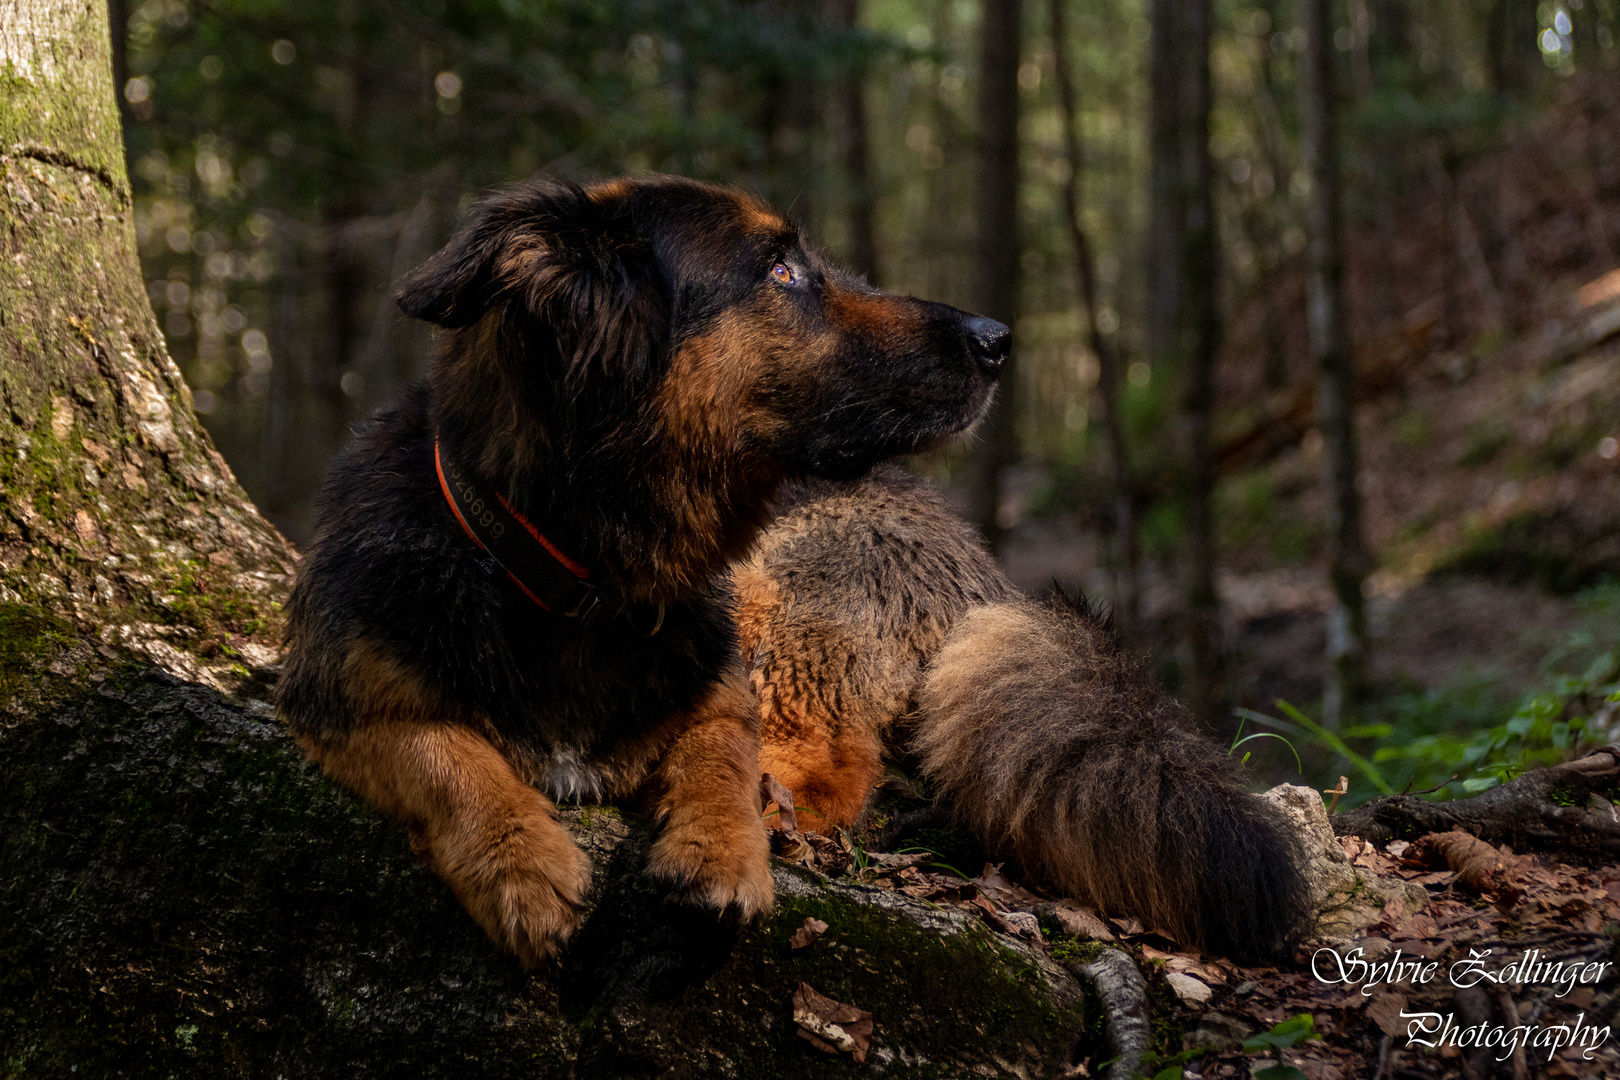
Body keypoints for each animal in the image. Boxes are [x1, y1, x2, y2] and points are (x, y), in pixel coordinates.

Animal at [278, 175, 1010, 965]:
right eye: (781, 272)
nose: (999, 340)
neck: (580, 575)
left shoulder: (721, 690)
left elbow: (722, 756)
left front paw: (722, 849)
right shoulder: (338, 699)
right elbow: (444, 752)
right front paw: (523, 863)